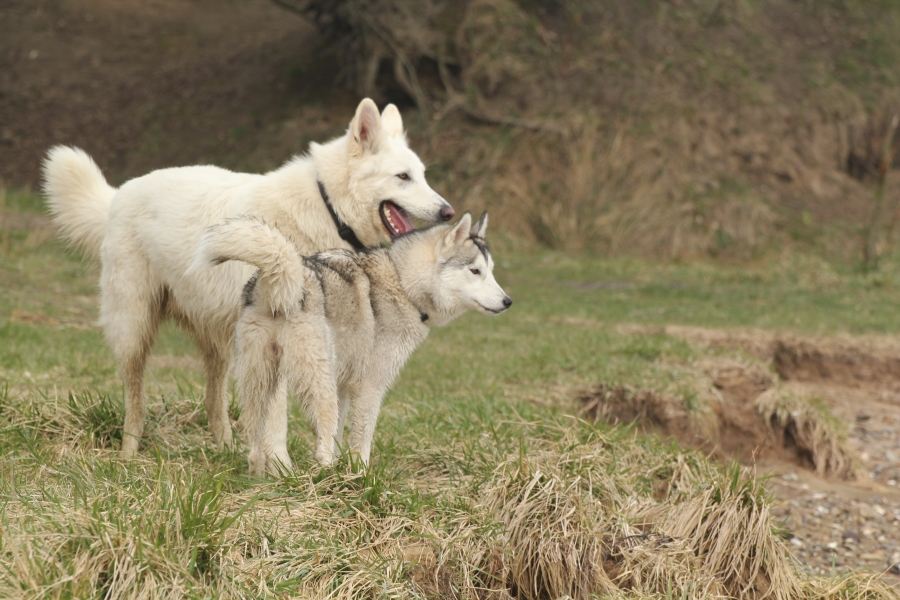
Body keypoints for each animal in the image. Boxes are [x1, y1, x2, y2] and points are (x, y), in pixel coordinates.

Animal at [42, 97, 454, 454]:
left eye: (422, 176)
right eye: (402, 177)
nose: (448, 212)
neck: (328, 207)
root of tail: (118, 195)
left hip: (221, 343)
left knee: (214, 401)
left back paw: (225, 449)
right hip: (134, 330)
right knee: (135, 397)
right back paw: (129, 452)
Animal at [196, 212, 510, 474]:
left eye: (491, 271)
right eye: (475, 271)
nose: (508, 301)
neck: (403, 284)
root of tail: (277, 283)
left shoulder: (344, 386)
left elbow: (338, 436)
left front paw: (343, 472)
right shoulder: (369, 387)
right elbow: (361, 440)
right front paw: (360, 477)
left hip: (262, 382)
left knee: (256, 445)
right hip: (317, 383)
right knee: (319, 440)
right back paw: (322, 475)